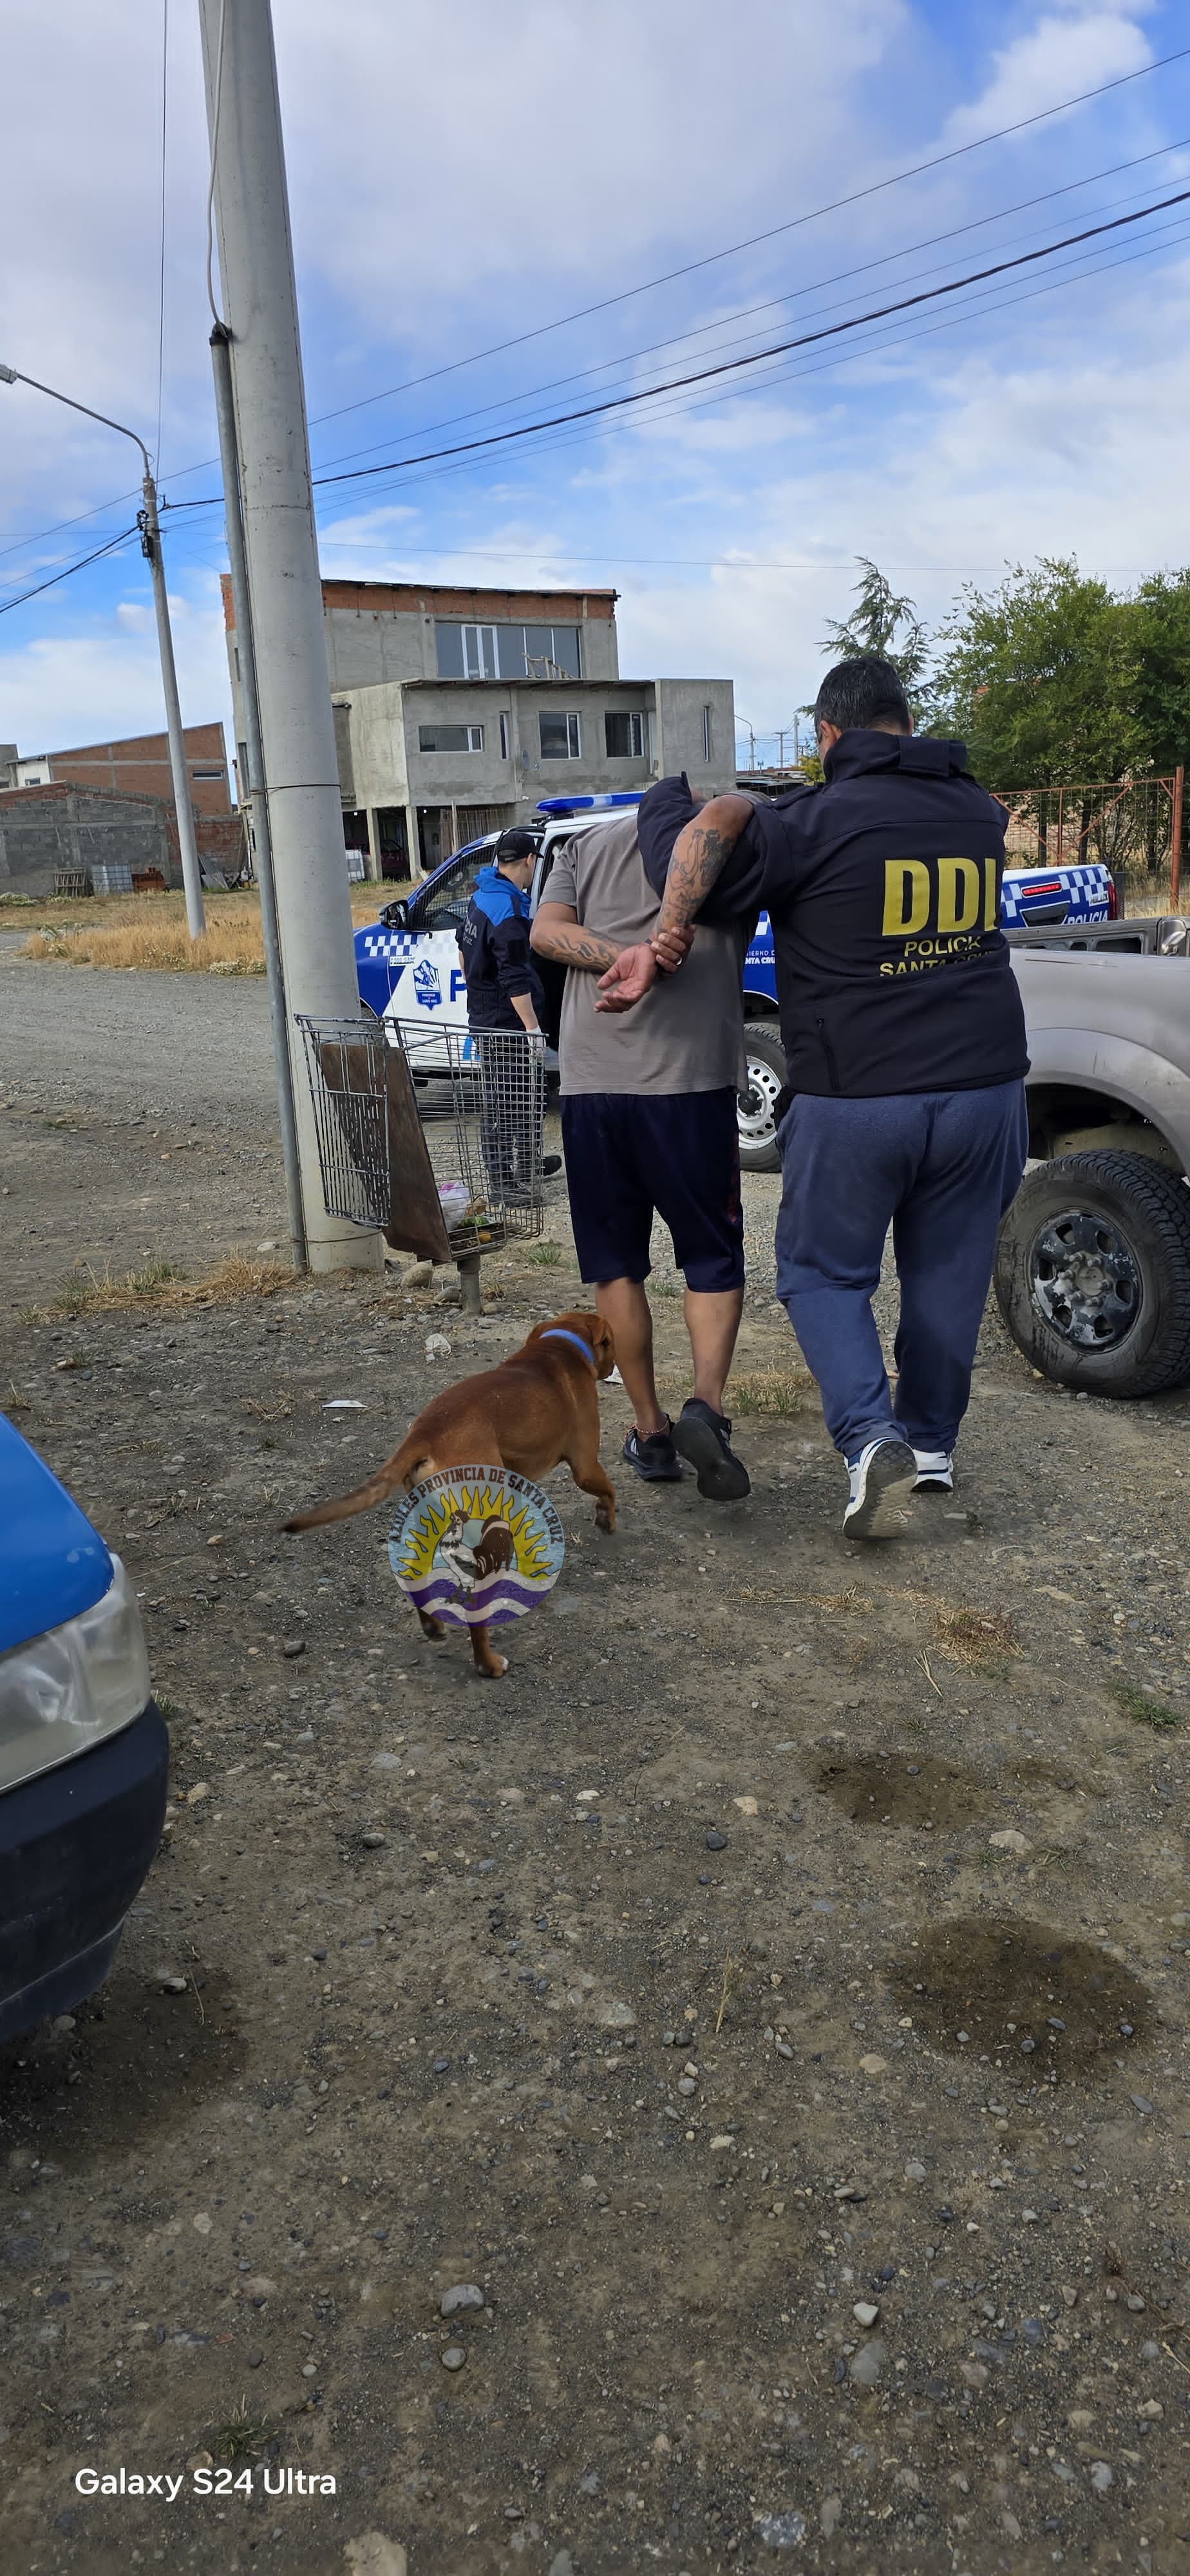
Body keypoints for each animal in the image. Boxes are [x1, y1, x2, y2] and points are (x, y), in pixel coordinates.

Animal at [279, 1309, 613, 1690]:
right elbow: (607, 1489)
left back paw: (432, 1625)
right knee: (476, 1612)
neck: (562, 1344)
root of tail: (424, 1435)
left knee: (414, 1575)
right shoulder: (585, 1465)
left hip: (428, 1524)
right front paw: (608, 1518)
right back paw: (488, 1664)